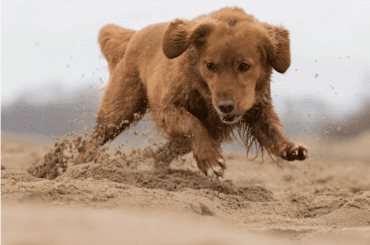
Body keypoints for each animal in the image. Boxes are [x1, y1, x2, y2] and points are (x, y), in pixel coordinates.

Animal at [79, 6, 308, 179]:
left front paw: (289, 147)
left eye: (244, 66)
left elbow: (271, 129)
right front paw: (211, 161)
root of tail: (136, 34)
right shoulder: (168, 107)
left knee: (160, 154)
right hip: (119, 110)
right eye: (210, 66)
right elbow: (193, 124)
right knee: (93, 139)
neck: (203, 90)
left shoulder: (257, 107)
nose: (225, 106)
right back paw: (80, 166)